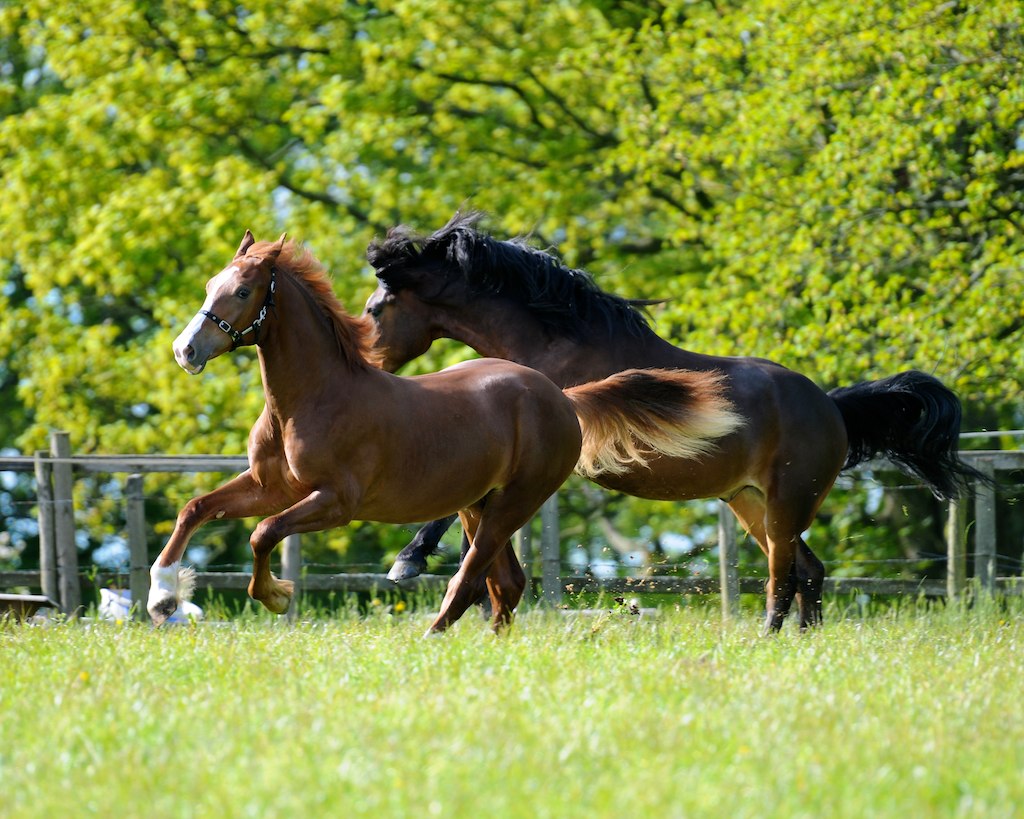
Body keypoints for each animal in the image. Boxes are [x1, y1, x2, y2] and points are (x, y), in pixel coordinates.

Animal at [148, 230, 745, 634]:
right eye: (211, 284)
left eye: (244, 291)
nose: (185, 351)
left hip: (513, 502)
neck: (312, 398)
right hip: (477, 503)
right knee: (505, 584)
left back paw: (433, 631)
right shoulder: (273, 486)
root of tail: (559, 396)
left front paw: (274, 596)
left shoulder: (335, 501)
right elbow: (196, 509)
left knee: (472, 577)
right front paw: (161, 596)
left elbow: (263, 533)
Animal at [364, 210, 978, 634]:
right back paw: (800, 643)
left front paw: (407, 562)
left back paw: (766, 638)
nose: (369, 366)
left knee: (784, 575)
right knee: (810, 570)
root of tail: (830, 407)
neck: (555, 342)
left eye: (374, 308)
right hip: (751, 502)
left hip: (787, 502)